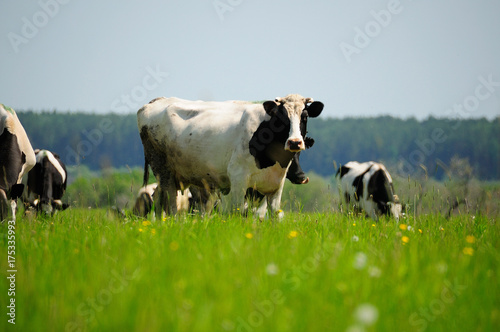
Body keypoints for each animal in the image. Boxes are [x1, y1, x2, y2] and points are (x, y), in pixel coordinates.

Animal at [138, 93, 324, 219]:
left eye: (304, 116)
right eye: (281, 117)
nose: (294, 142)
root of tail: (155, 101)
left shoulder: (276, 185)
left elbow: (273, 215)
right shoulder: (238, 178)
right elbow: (238, 212)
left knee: (158, 198)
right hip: (162, 168)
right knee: (171, 203)